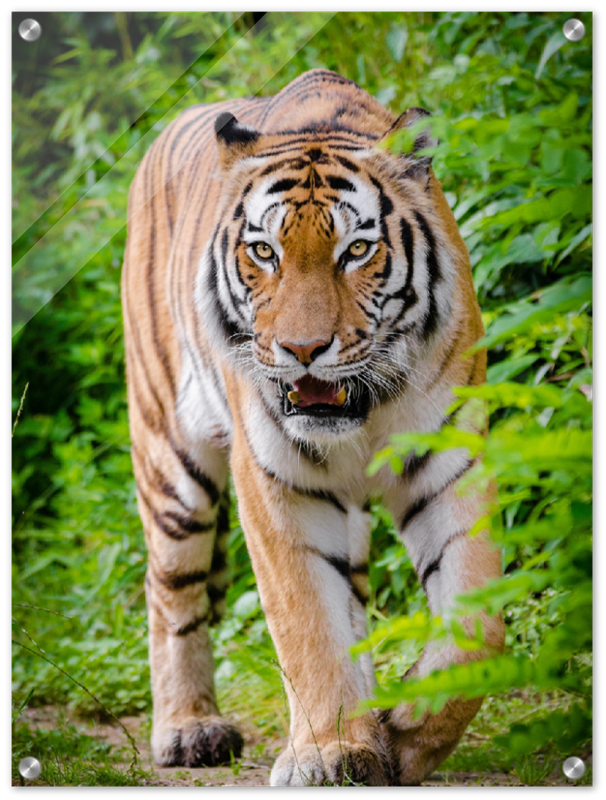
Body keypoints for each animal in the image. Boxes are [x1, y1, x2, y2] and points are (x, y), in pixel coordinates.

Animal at [121, 68, 505, 786]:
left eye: (356, 250)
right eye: (263, 252)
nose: (302, 350)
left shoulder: (448, 462)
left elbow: (478, 628)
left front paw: (401, 735)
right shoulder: (278, 482)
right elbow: (306, 623)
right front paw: (331, 750)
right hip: (171, 462)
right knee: (171, 591)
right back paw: (189, 729)